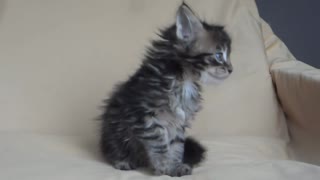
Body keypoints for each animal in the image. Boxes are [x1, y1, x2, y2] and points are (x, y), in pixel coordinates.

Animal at [99, 2, 231, 177]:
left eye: (228, 55)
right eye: (218, 55)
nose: (231, 69)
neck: (185, 80)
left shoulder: (179, 122)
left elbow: (176, 146)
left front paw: (175, 166)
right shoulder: (146, 116)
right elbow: (159, 144)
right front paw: (164, 167)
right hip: (113, 129)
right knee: (114, 149)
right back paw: (123, 161)